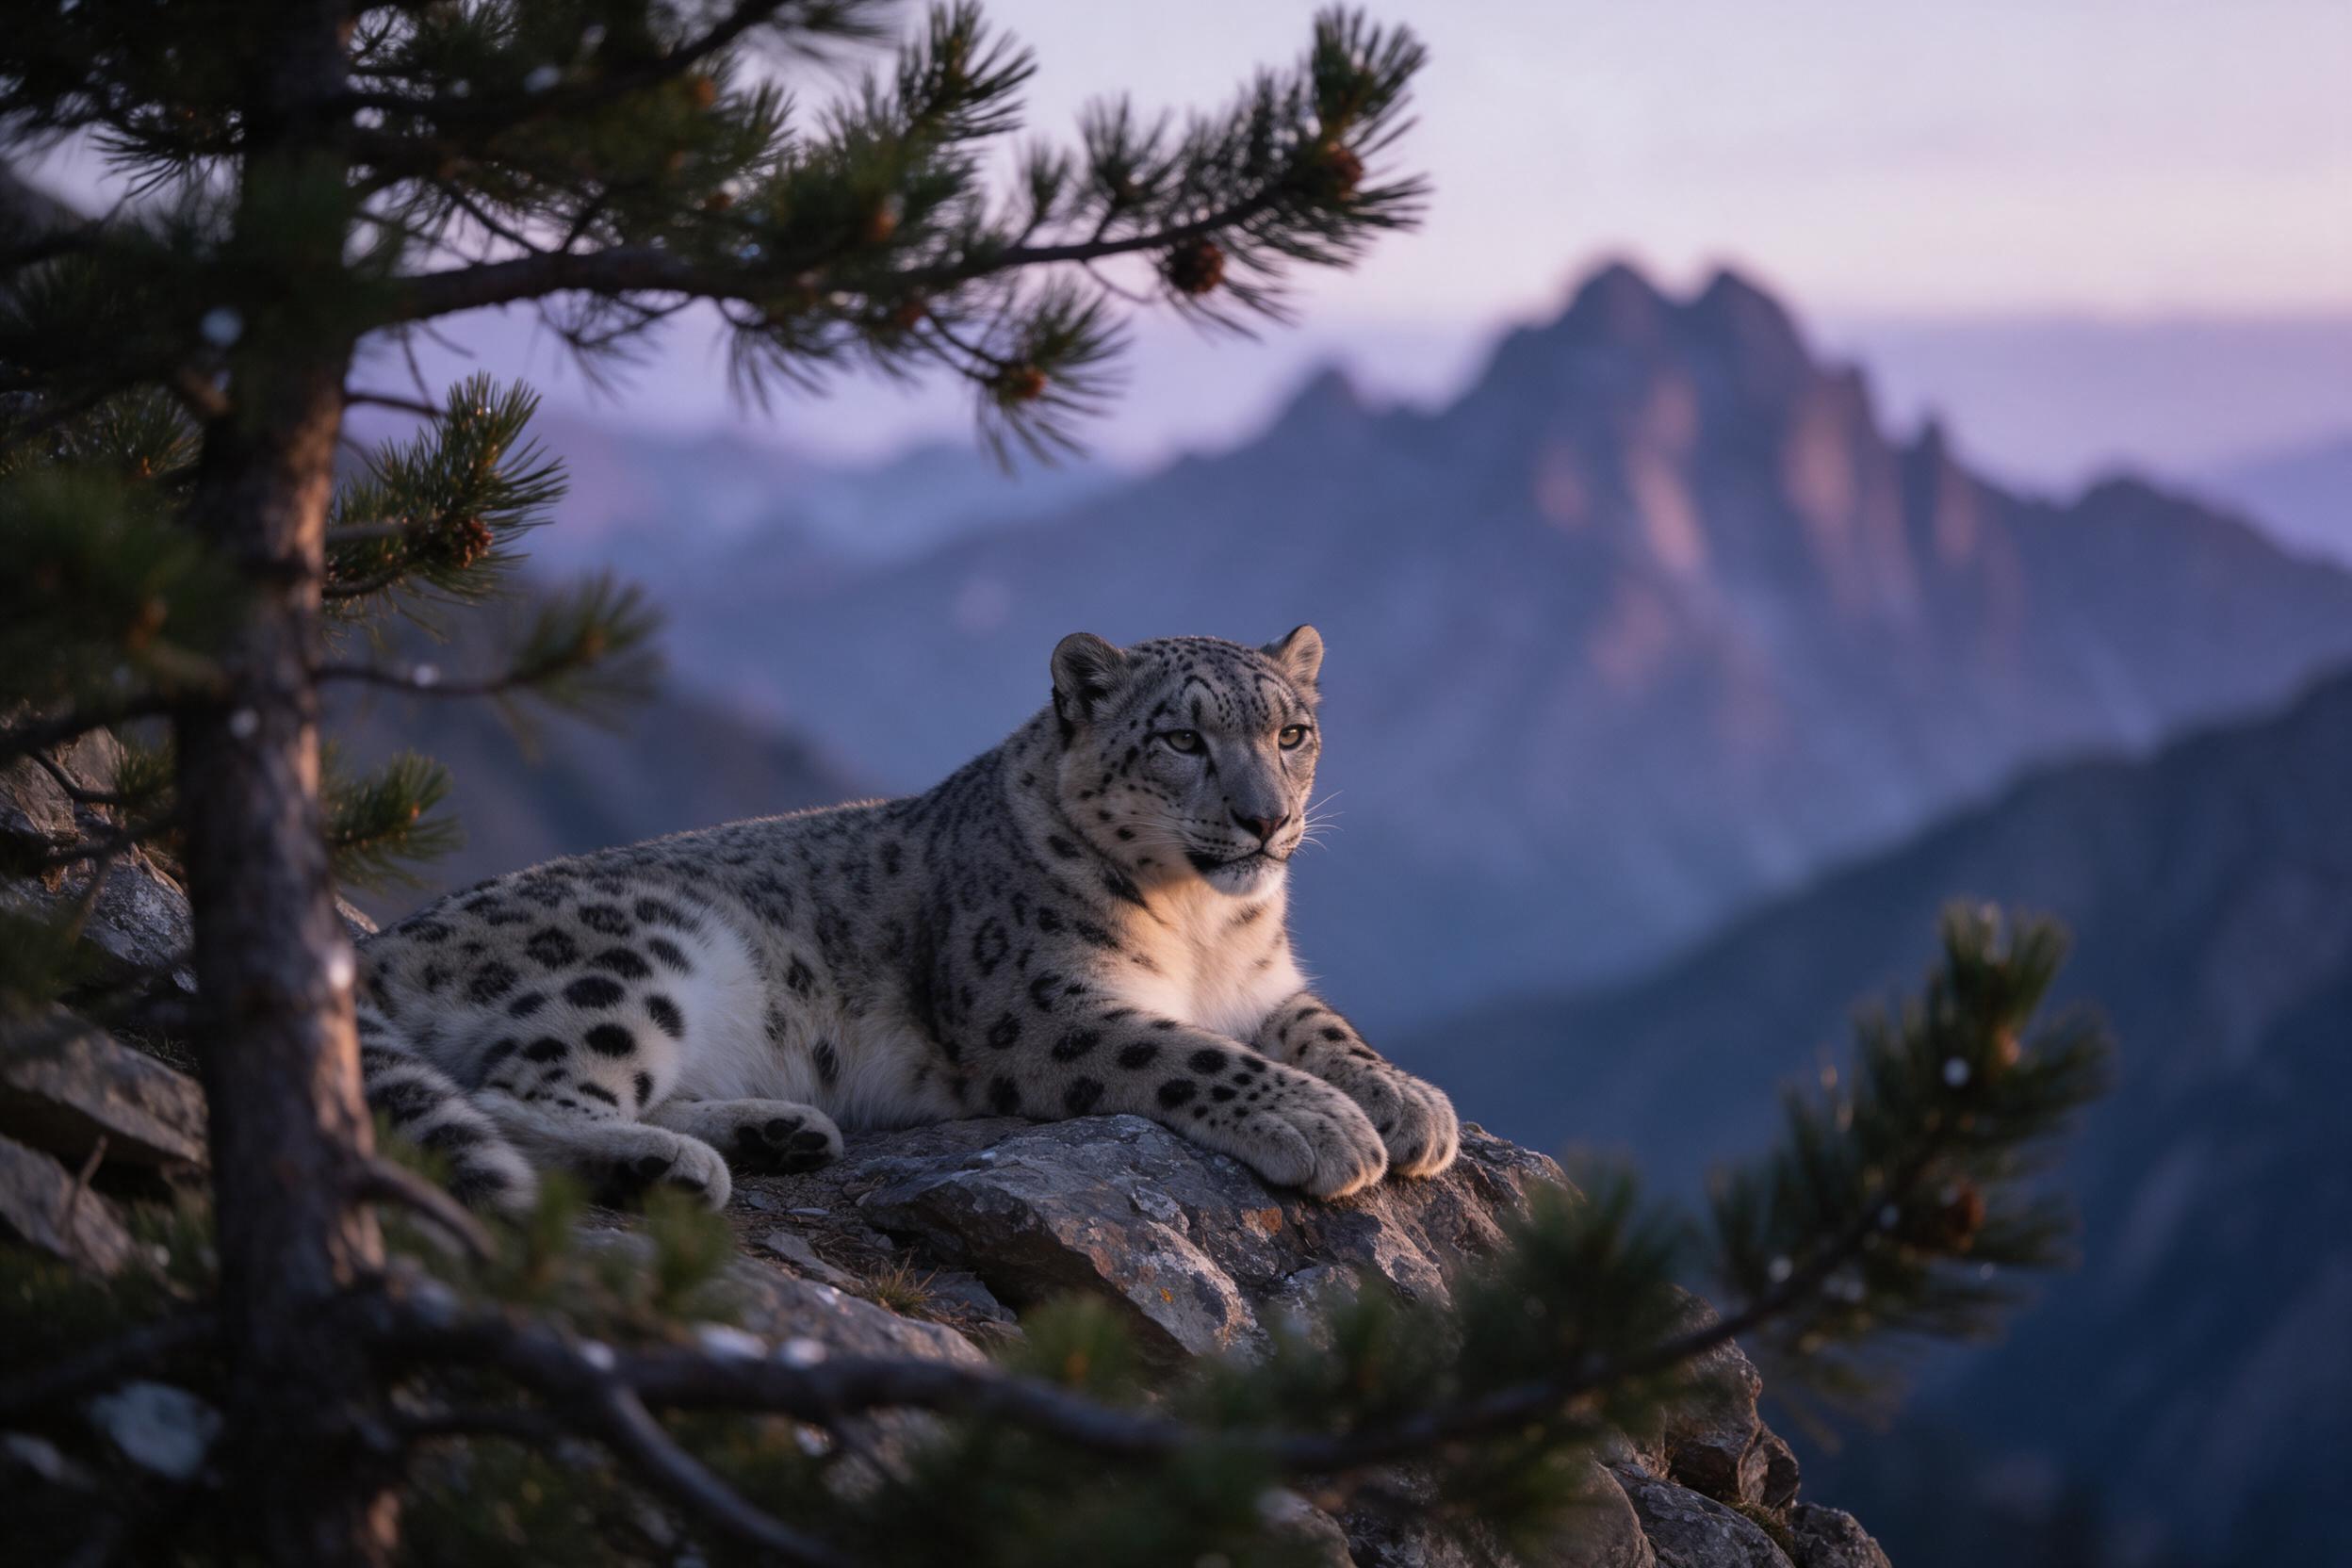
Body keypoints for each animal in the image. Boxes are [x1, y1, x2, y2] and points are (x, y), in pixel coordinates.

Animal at [353, 626, 1460, 1213]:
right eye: (1182, 738)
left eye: (1293, 733)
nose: (1265, 820)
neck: (1203, 930)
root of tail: (386, 942)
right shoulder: (1045, 1007)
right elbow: (1193, 1053)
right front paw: (1322, 1123)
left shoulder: (1266, 985)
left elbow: (1327, 1027)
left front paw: (1412, 1103)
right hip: (635, 960)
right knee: (512, 1094)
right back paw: (677, 1164)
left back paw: (777, 1129)